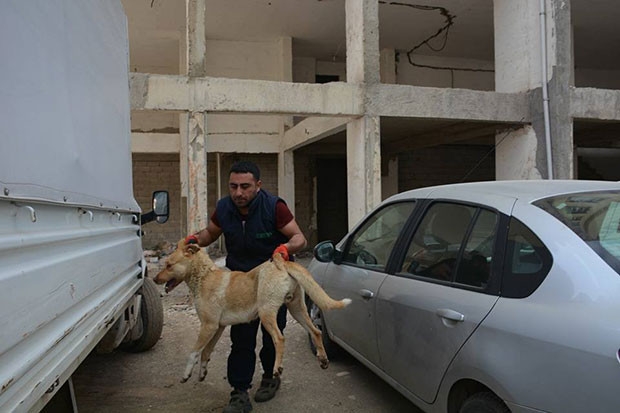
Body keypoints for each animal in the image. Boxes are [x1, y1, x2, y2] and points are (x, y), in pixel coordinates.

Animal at [153, 238, 352, 384]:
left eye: (169, 265)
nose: (154, 279)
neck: (204, 276)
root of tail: (281, 263)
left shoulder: (208, 326)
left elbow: (194, 352)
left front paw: (186, 374)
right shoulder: (217, 327)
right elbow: (206, 352)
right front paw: (202, 372)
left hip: (266, 313)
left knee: (280, 339)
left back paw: (277, 369)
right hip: (297, 309)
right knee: (316, 331)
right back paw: (323, 359)